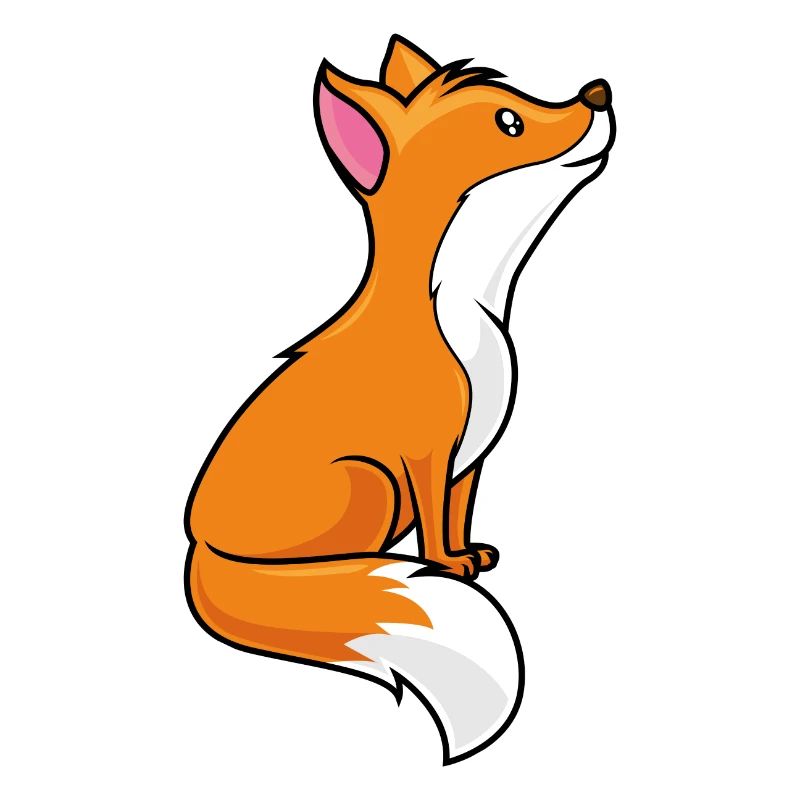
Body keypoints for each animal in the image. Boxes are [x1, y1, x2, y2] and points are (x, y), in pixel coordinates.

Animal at [184, 35, 615, 764]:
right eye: (509, 122)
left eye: (521, 98)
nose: (599, 92)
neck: (469, 315)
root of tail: (201, 546)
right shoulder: (424, 450)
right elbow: (436, 524)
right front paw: (445, 568)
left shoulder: (471, 456)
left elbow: (458, 515)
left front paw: (471, 560)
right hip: (370, 480)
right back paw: (367, 570)